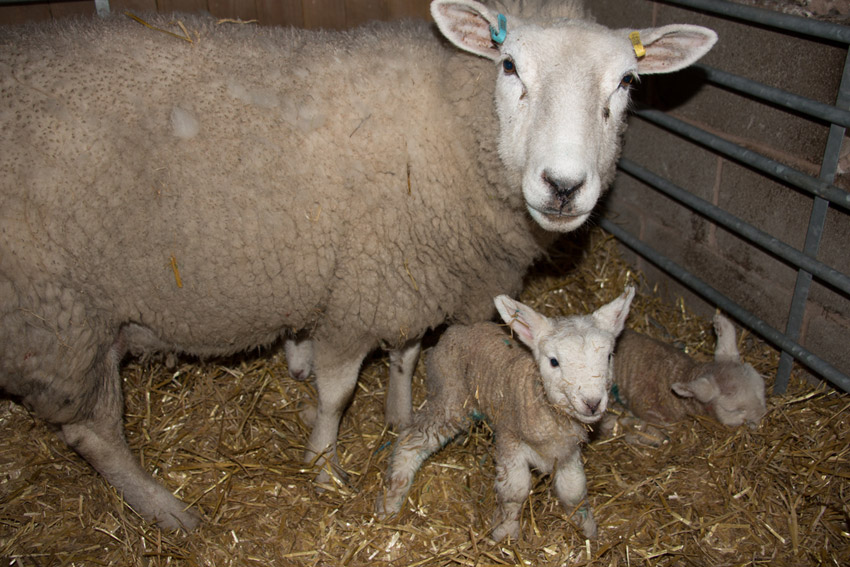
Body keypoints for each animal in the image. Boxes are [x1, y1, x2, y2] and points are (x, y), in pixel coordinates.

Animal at [377, 287, 635, 541]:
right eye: (554, 362)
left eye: (609, 356)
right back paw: (392, 499)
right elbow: (515, 491)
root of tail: (456, 327)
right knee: (412, 439)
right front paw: (506, 534)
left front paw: (588, 531)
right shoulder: (510, 441)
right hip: (450, 396)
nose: (592, 403)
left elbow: (574, 490)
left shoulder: (568, 453)